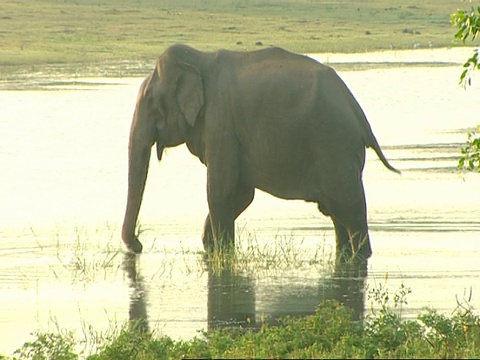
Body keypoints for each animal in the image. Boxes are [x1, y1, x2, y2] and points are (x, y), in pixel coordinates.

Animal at [122, 43, 400, 260]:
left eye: (150, 101)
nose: (138, 245)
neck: (200, 59)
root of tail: (358, 112)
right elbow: (241, 193)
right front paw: (210, 247)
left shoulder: (221, 122)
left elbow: (220, 191)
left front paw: (222, 255)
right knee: (336, 213)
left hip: (335, 146)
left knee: (350, 208)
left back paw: (360, 257)